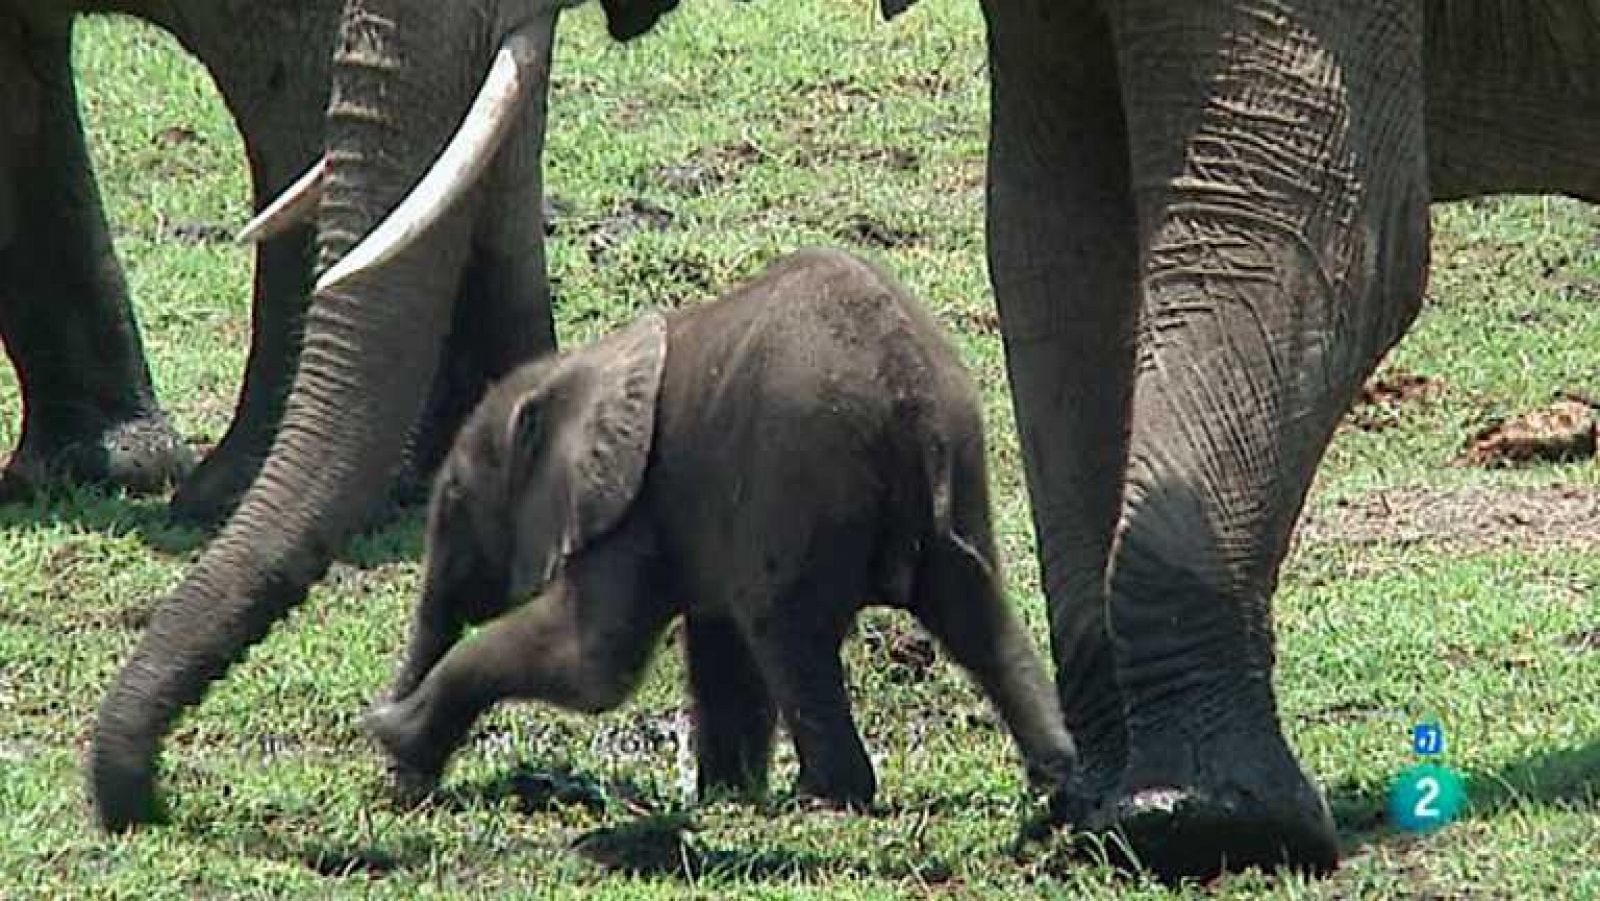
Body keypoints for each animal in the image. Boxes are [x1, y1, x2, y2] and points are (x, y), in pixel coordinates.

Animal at [366, 248, 1075, 809]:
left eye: (453, 497)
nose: (395, 784)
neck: (577, 369)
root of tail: (910, 392)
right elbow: (712, 641)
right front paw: (724, 796)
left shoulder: (631, 507)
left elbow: (595, 665)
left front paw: (393, 732)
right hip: (958, 462)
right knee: (977, 616)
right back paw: (1057, 776)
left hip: (798, 475)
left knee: (788, 633)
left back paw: (823, 798)